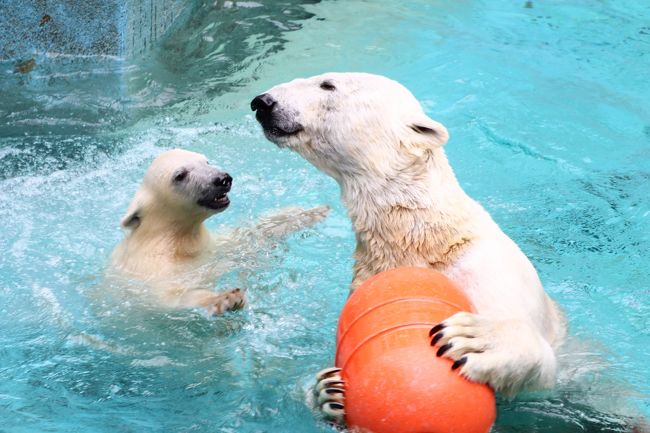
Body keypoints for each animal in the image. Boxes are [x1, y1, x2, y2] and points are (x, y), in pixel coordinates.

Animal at [251, 73, 564, 402]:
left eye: (327, 84)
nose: (262, 102)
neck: (424, 239)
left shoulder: (491, 270)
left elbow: (540, 367)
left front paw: (476, 338)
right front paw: (328, 389)